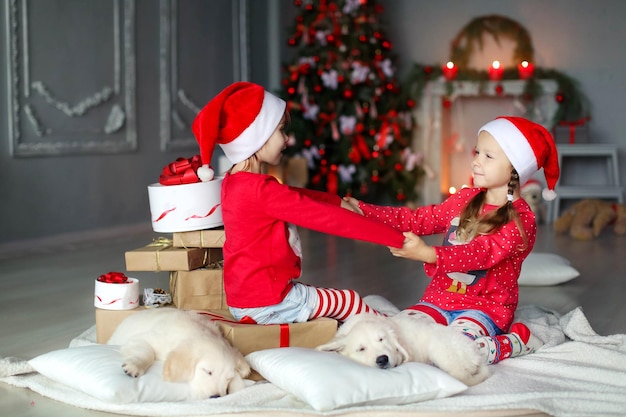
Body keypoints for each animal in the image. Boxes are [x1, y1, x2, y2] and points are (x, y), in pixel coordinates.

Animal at [108, 308, 250, 398]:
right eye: (207, 371)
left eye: (228, 379)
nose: (216, 397)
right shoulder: (142, 338)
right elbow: (147, 352)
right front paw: (135, 366)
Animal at [316, 310, 488, 386]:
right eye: (361, 349)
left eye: (381, 339)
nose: (382, 359)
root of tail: (477, 355)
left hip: (441, 350)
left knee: (463, 377)